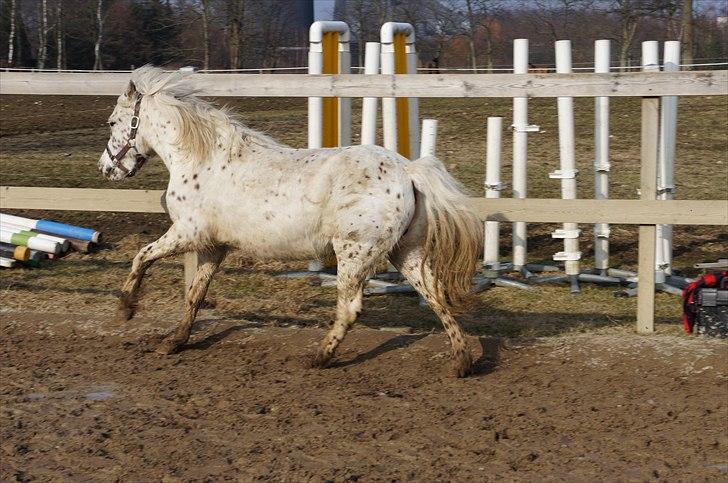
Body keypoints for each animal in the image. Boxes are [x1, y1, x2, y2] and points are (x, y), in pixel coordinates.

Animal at [98, 67, 484, 378]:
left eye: (113, 122)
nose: (106, 168)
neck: (202, 159)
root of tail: (408, 171)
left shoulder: (187, 233)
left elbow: (142, 256)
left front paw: (125, 308)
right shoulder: (213, 246)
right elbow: (195, 294)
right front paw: (174, 342)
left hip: (353, 253)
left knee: (350, 309)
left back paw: (318, 358)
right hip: (406, 253)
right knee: (435, 296)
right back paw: (462, 362)